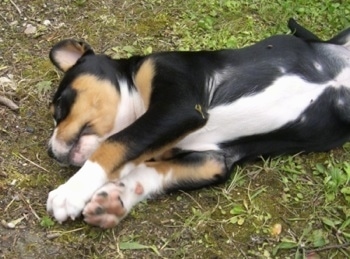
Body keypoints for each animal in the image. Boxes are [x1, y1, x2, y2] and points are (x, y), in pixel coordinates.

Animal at [45, 19, 350, 229]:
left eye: (58, 105)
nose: (49, 151)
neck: (139, 104)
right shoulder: (212, 161)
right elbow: (149, 172)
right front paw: (114, 200)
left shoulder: (179, 105)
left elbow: (115, 143)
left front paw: (70, 192)